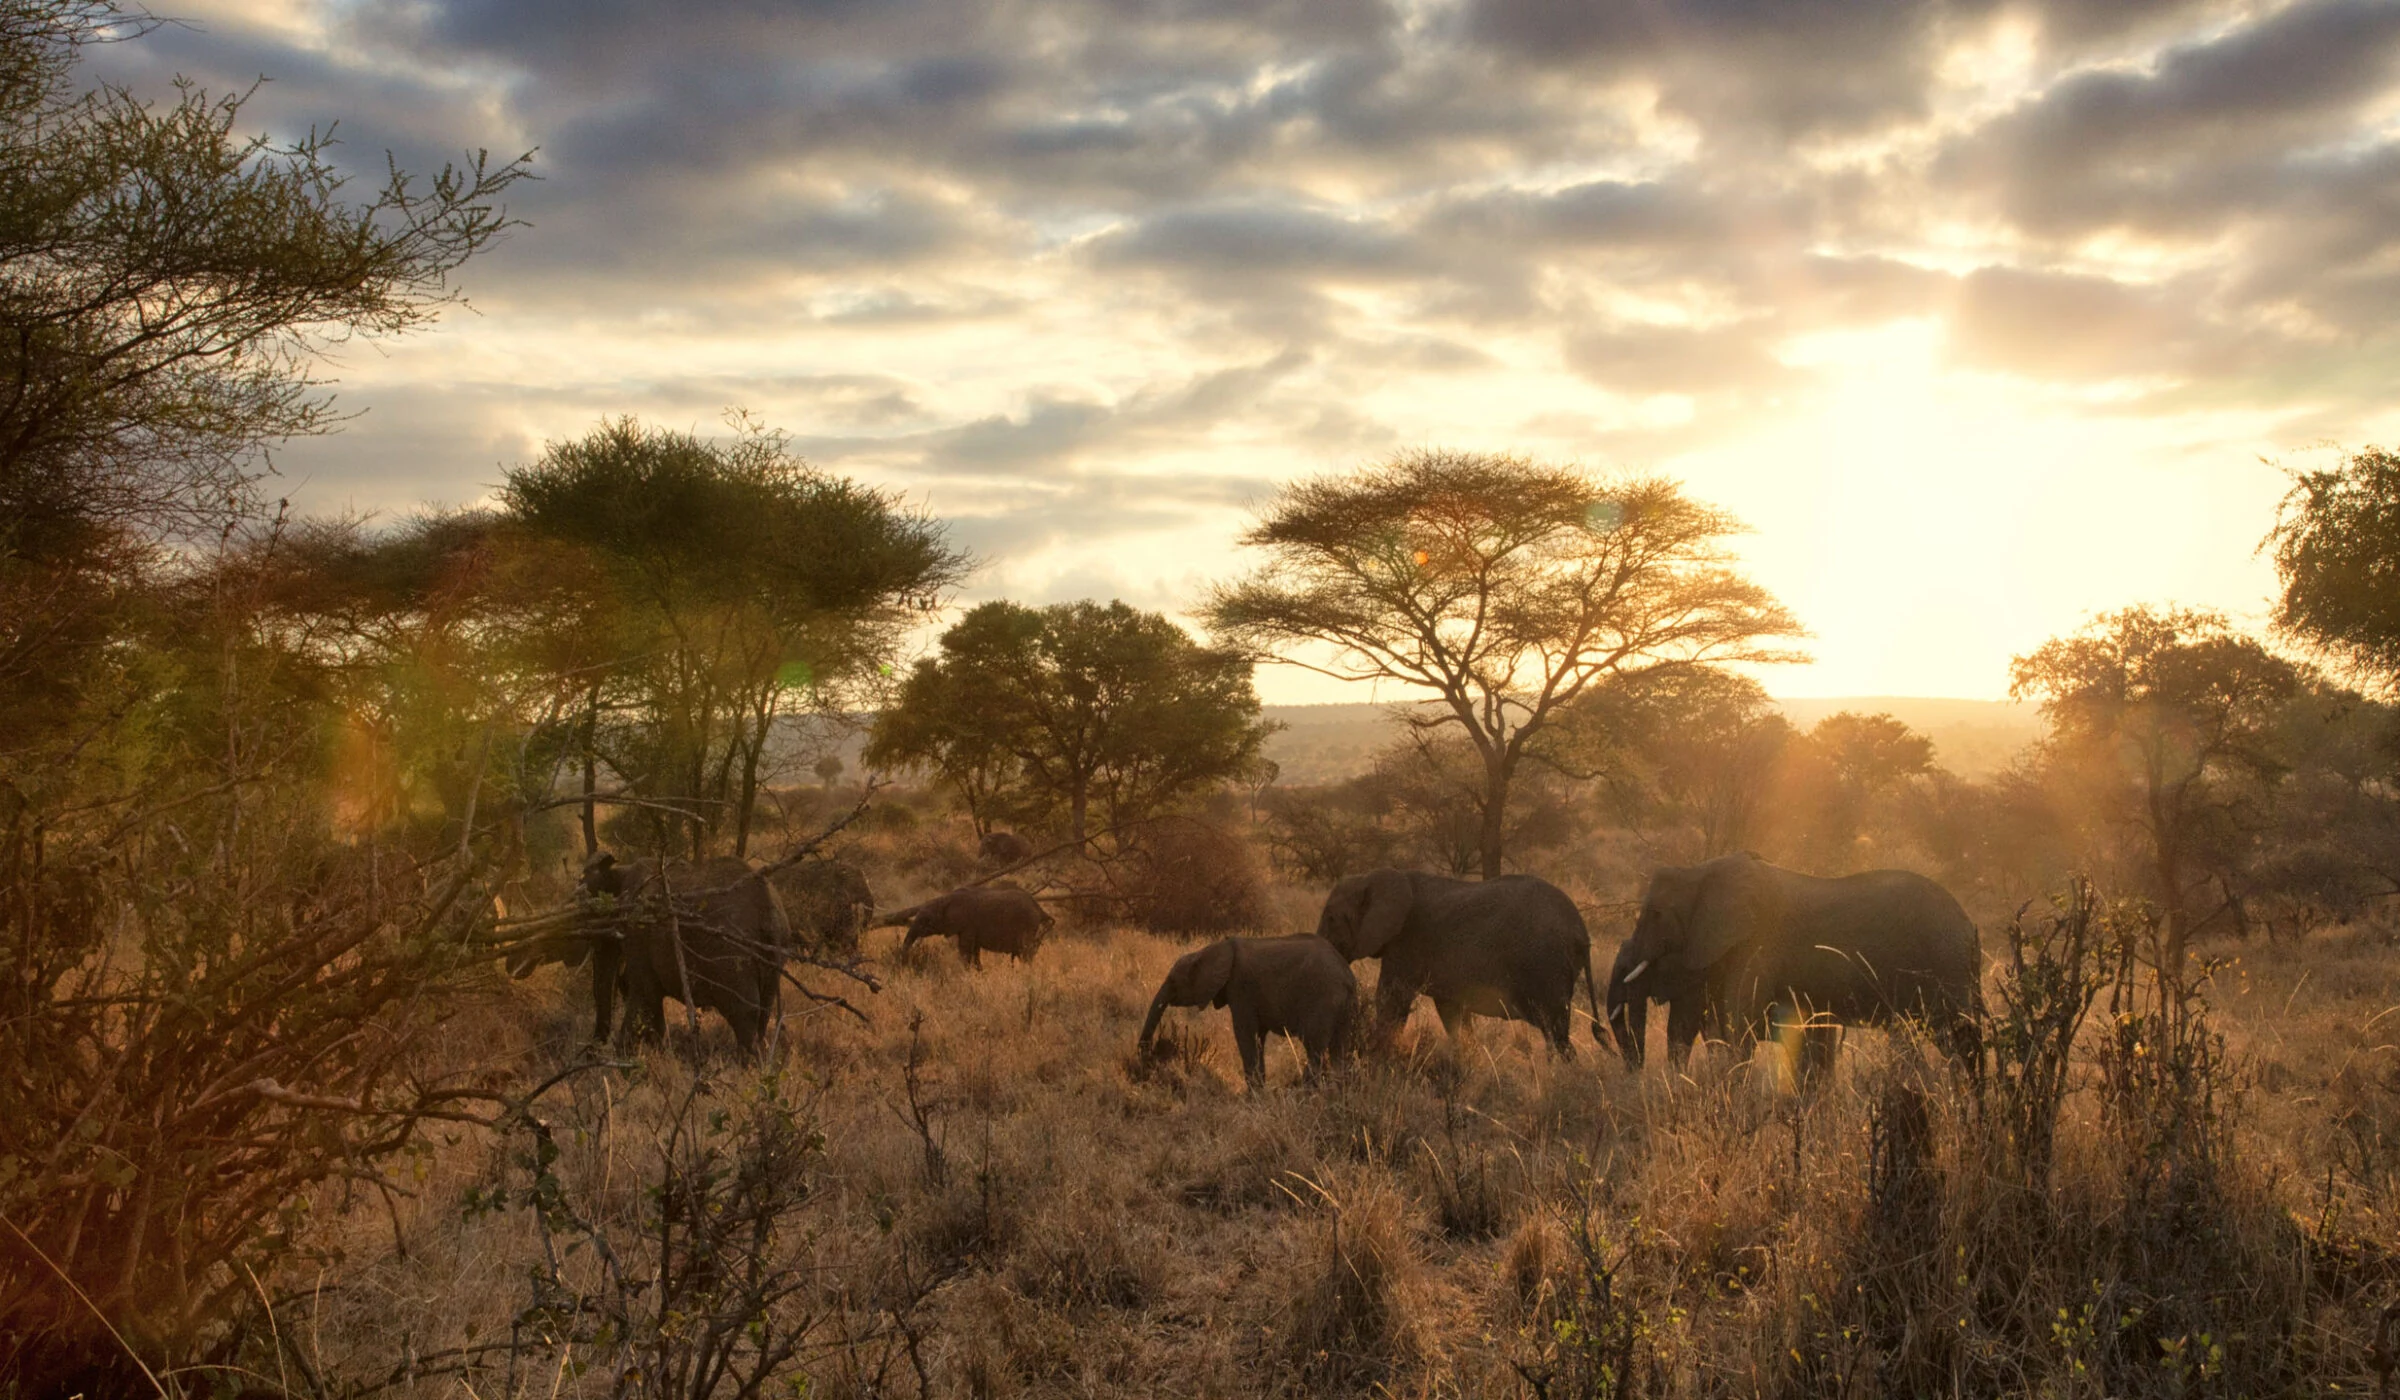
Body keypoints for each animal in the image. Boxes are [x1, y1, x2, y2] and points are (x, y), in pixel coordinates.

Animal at [579, 851, 791, 1055]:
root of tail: (769, 910)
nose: (592, 1051)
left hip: (733, 955)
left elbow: (643, 993)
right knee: (763, 1012)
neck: (621, 871)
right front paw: (662, 1054)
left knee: (744, 1015)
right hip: (775, 954)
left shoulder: (639, 930)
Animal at [899, 885, 1051, 967]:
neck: (945, 899)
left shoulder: (969, 924)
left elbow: (965, 949)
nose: (904, 959)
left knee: (1026, 952)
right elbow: (974, 951)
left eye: (926, 920)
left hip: (1027, 925)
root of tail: (1039, 909)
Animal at [1137, 935, 1357, 1086]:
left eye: (1173, 981)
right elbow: (1258, 1037)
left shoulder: (1241, 989)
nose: (1148, 1062)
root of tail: (1347, 976)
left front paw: (1253, 1097)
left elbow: (1244, 1034)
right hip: (1344, 1007)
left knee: (1314, 1048)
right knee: (1340, 1049)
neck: (1211, 949)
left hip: (1322, 1000)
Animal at [1313, 869, 1601, 1055]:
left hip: (1545, 963)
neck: (1373, 877)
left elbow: (1391, 999)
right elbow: (1451, 1011)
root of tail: (1582, 932)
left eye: (1331, 918)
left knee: (1554, 1030)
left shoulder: (1407, 942)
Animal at [1606, 852, 1983, 1075]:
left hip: (1944, 964)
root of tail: (1969, 925)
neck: (1701, 871)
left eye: (1655, 914)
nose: (1635, 1071)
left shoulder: (1759, 944)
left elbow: (1739, 1026)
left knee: (1958, 1038)